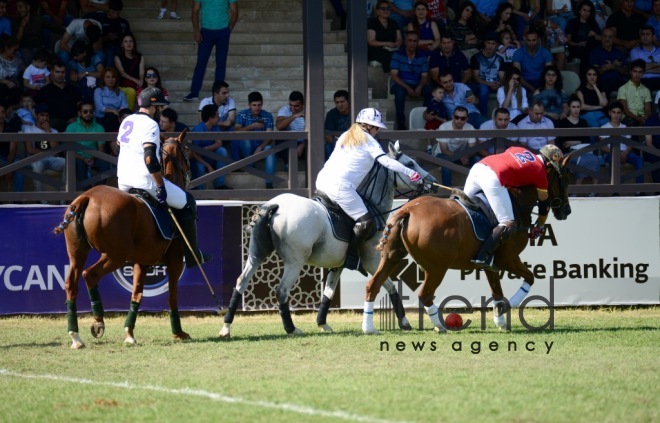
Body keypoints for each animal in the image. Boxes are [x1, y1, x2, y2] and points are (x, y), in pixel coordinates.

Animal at [52, 131, 192, 350]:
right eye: (186, 151)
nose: (190, 174)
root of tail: (86, 197)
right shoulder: (175, 260)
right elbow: (172, 295)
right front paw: (178, 332)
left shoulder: (142, 261)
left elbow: (136, 294)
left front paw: (129, 333)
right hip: (116, 255)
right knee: (90, 274)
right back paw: (98, 322)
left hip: (77, 252)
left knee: (71, 284)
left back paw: (76, 336)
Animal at [222, 142, 436, 338]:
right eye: (410, 163)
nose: (432, 181)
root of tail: (275, 206)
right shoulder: (371, 260)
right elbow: (388, 284)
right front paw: (404, 321)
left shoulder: (338, 264)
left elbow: (328, 293)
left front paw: (322, 323)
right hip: (295, 260)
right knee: (282, 290)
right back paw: (291, 328)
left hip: (257, 253)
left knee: (241, 281)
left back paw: (226, 327)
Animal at [360, 156, 572, 334]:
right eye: (564, 179)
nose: (566, 211)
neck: (517, 203)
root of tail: (408, 210)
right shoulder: (508, 259)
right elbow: (530, 277)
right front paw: (506, 307)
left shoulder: (490, 263)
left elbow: (497, 291)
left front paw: (500, 320)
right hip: (437, 267)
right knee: (425, 294)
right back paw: (440, 326)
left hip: (391, 257)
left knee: (373, 285)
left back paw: (369, 328)